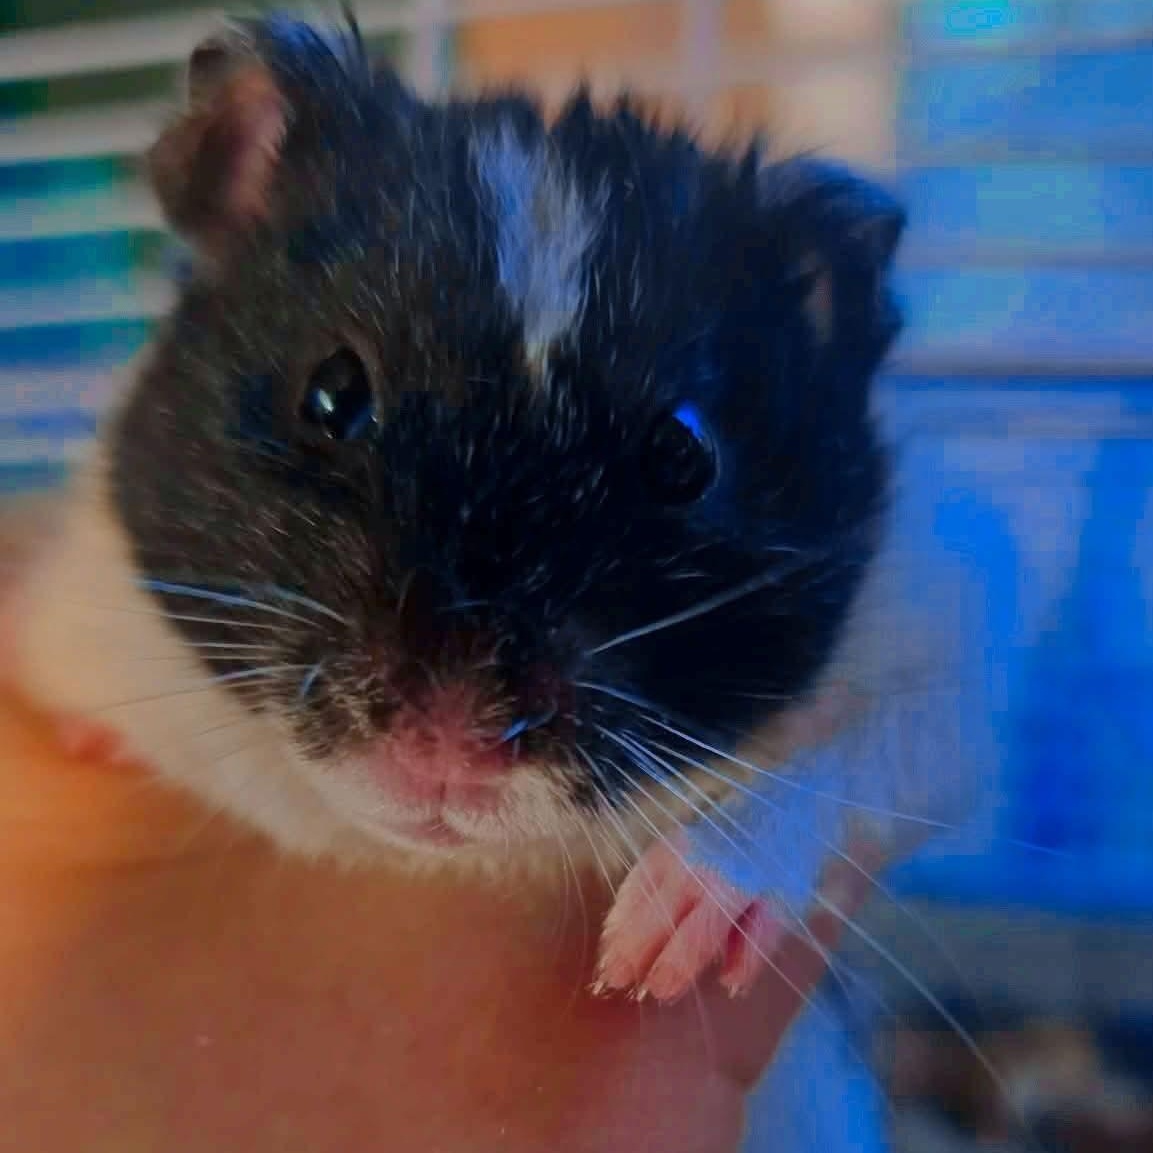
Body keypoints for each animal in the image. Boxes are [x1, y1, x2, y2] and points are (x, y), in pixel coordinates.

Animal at [8, 12, 926, 1004]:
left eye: (683, 456)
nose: (449, 748)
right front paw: (93, 736)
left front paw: (656, 955)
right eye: (330, 392)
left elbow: (841, 773)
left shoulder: (937, 651)